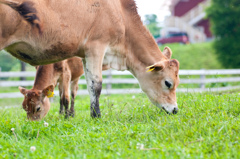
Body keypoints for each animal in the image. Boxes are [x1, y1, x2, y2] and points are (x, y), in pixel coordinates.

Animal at [0, 0, 180, 117]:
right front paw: (96, 115)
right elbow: (96, 85)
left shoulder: (84, 55)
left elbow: (87, 86)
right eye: (168, 83)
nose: (175, 110)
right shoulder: (96, 47)